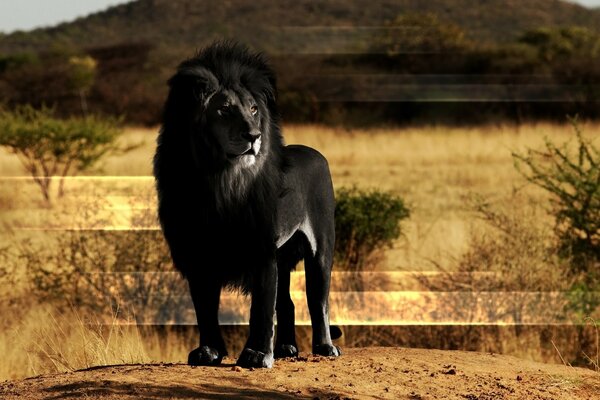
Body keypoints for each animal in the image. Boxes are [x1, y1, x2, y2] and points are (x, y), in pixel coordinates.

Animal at [154, 42, 342, 368]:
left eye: (254, 109)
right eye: (225, 109)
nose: (254, 136)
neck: (219, 180)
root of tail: (315, 152)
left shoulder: (261, 249)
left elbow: (261, 308)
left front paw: (255, 355)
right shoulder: (197, 254)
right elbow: (205, 308)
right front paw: (209, 352)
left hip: (320, 247)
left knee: (318, 299)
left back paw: (324, 347)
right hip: (284, 255)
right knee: (288, 303)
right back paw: (286, 349)